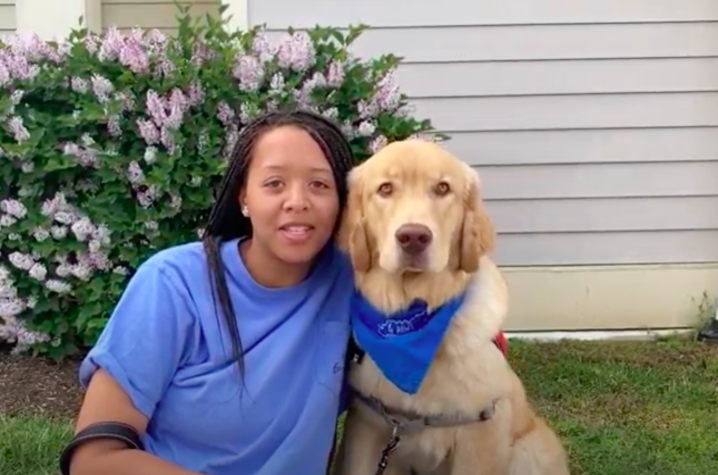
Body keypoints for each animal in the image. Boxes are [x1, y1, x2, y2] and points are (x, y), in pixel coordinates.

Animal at [334, 139, 572, 475]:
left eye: (442, 188)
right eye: (385, 189)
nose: (413, 237)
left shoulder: (482, 430)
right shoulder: (369, 425)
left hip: (531, 448)